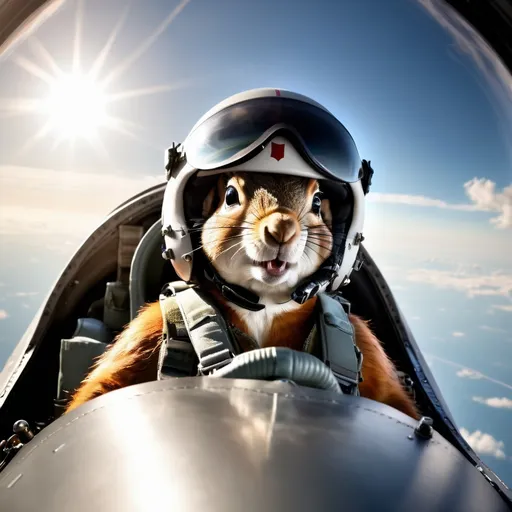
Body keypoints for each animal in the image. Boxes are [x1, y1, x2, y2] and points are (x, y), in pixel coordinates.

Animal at [66, 172, 420, 420]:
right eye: (231, 195)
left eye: (318, 201)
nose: (281, 228)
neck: (263, 309)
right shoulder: (148, 328)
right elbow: (99, 390)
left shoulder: (365, 340)